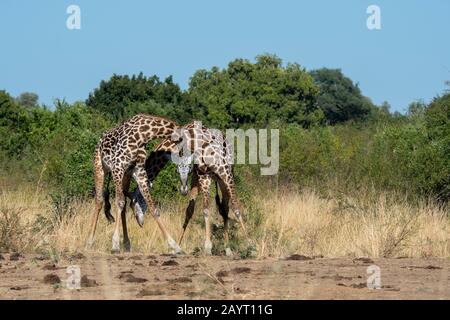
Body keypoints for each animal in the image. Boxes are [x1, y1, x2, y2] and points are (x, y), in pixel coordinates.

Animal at [84, 114, 183, 254]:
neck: (143, 135)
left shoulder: (139, 172)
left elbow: (153, 208)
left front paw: (175, 246)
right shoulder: (117, 168)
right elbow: (119, 202)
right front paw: (115, 245)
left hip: (126, 175)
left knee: (123, 202)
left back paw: (126, 244)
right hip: (99, 167)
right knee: (99, 200)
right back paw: (89, 242)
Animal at [130, 122, 246, 255]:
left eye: (133, 202)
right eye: (176, 171)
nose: (140, 222)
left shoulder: (203, 175)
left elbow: (206, 209)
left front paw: (207, 247)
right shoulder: (197, 176)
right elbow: (190, 210)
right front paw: (178, 246)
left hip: (224, 174)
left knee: (231, 206)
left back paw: (242, 244)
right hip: (214, 178)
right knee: (223, 208)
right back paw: (228, 247)